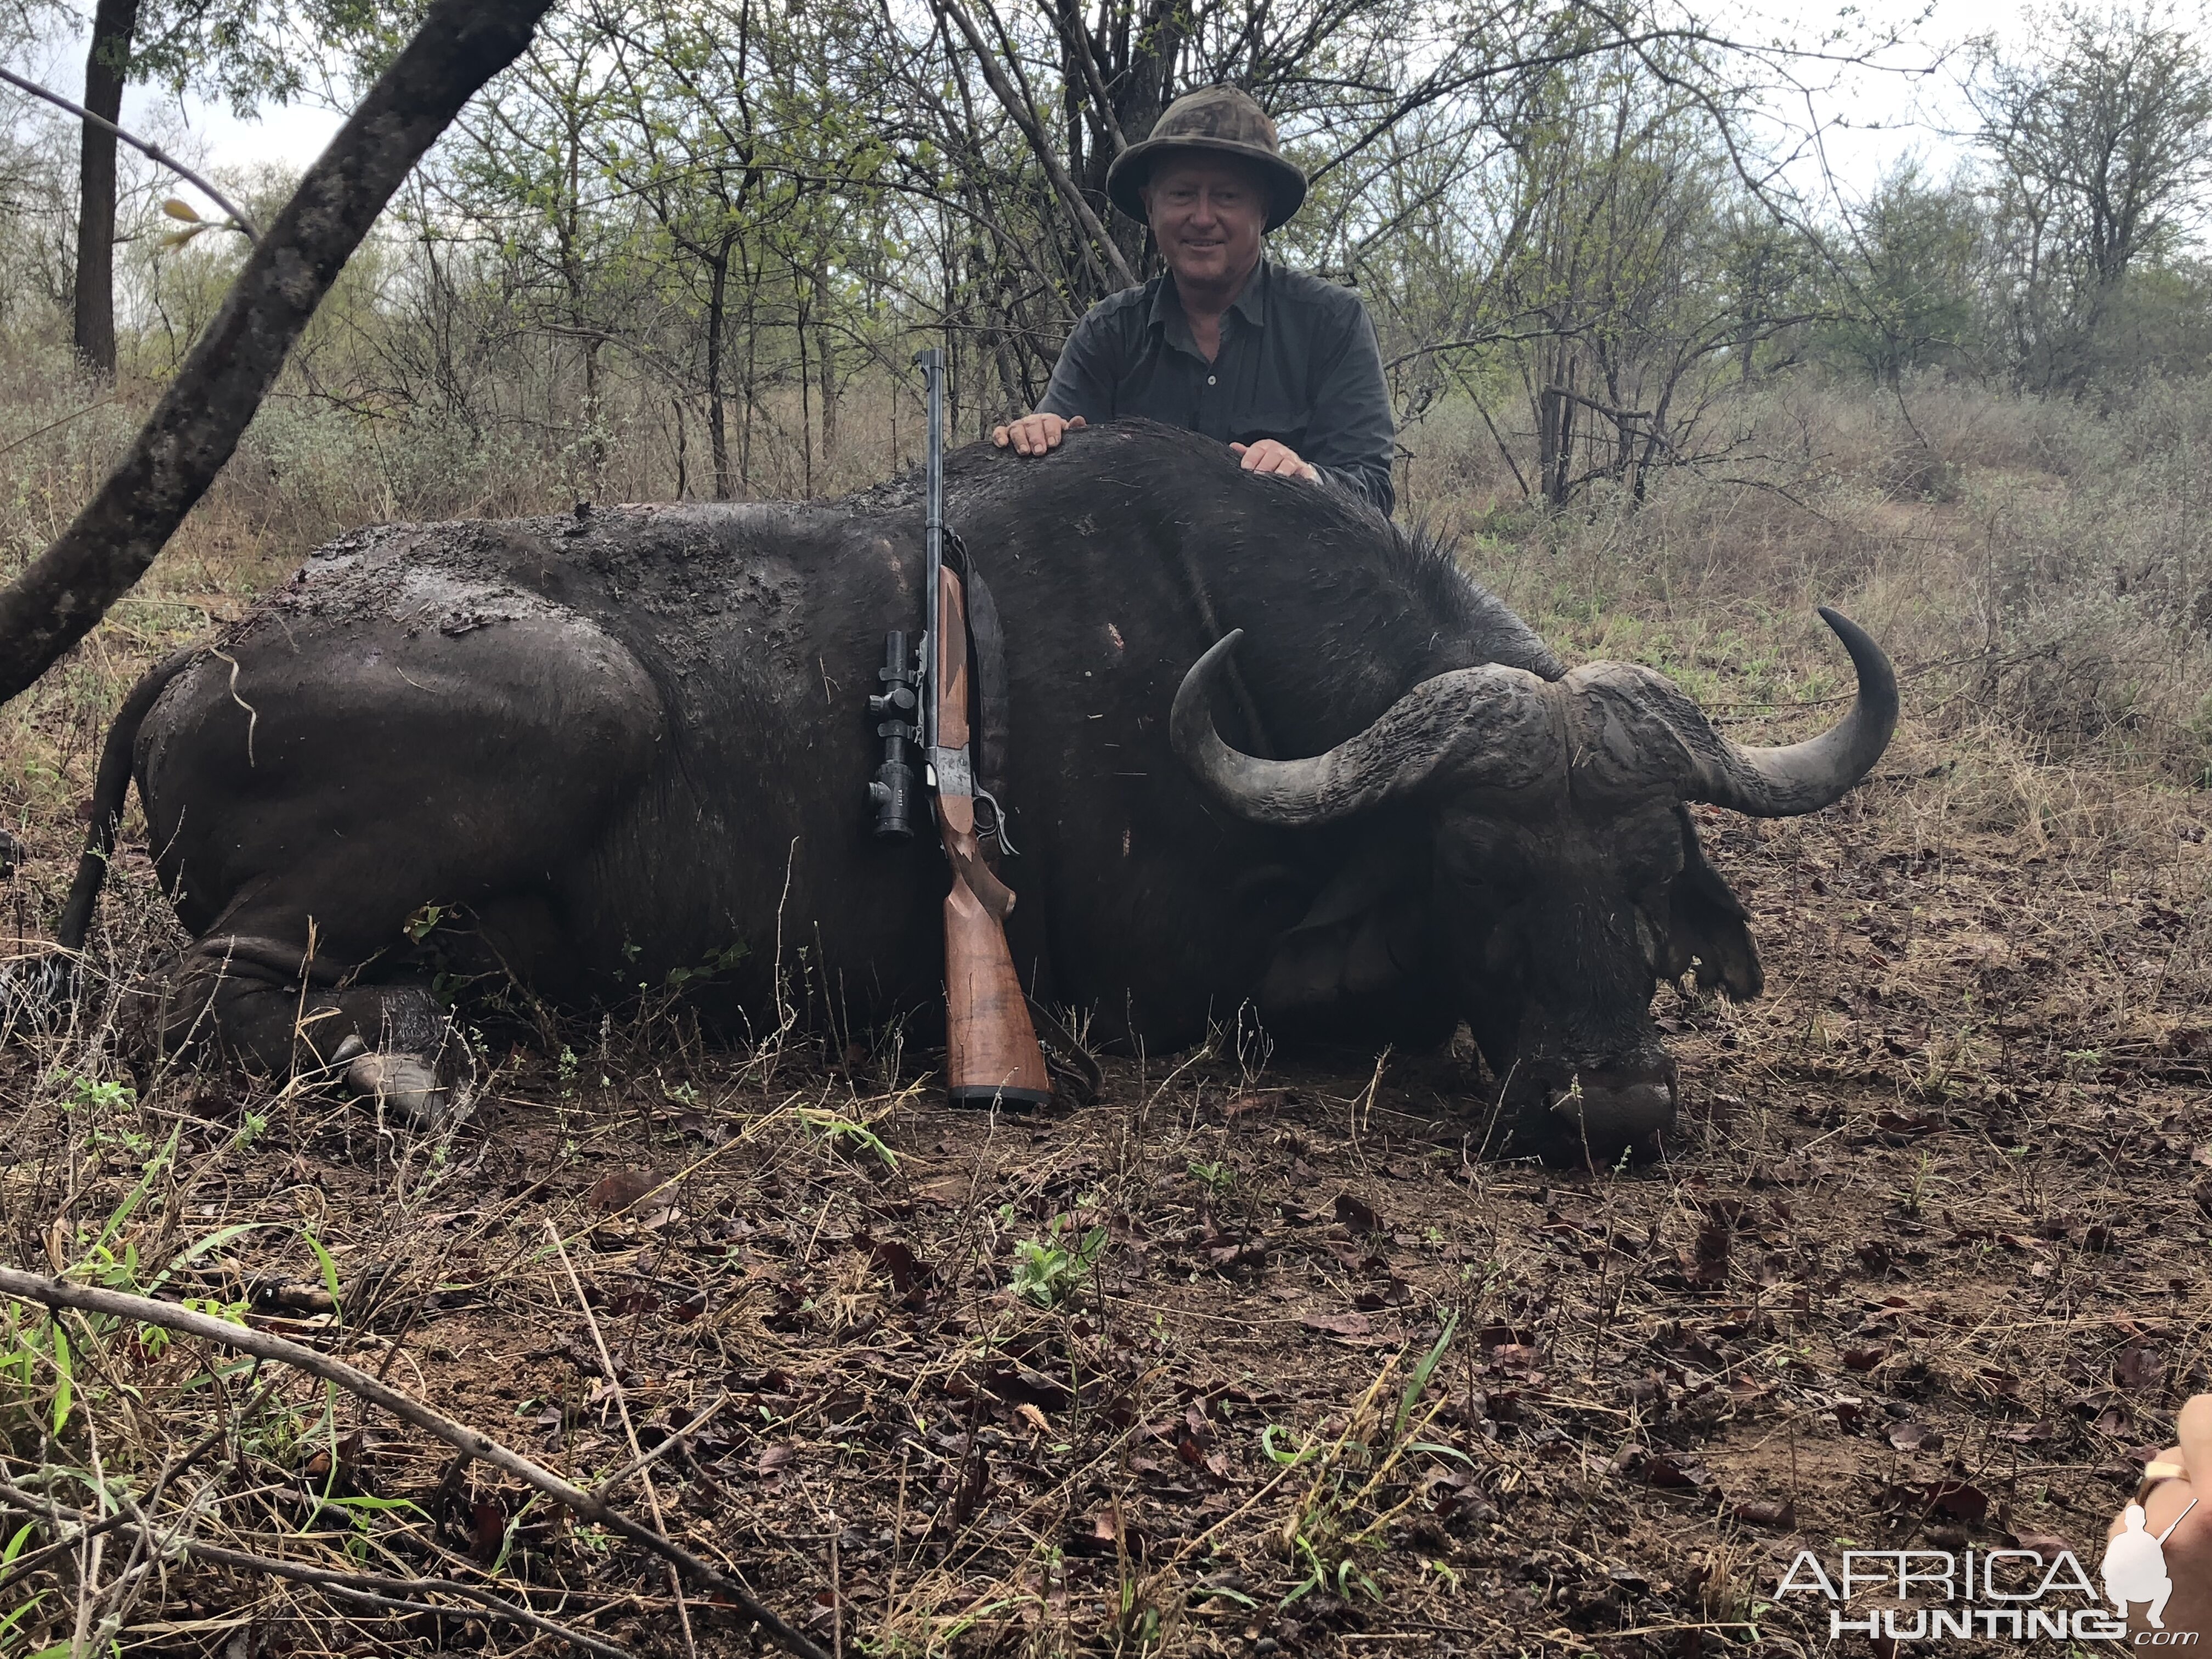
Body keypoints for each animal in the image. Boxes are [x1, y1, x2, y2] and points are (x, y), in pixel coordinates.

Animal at [43, 422, 1893, 1159]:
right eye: (1478, 866)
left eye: (1646, 869)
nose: (1610, 1109)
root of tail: (209, 652)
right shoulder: (1180, 997)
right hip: (577, 708)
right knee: (213, 997)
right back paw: (414, 1057)